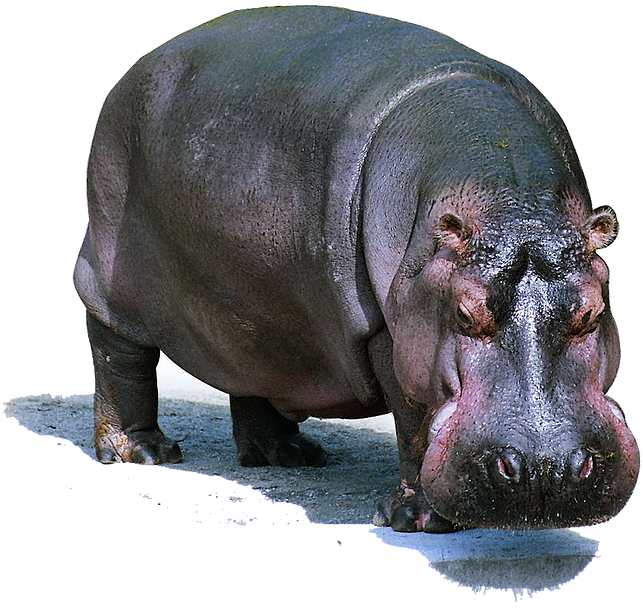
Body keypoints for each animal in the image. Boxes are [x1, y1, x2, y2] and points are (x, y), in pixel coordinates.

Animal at [74, 6, 640, 531]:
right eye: (464, 314)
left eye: (592, 312)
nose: (545, 470)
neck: (510, 204)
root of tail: (139, 67)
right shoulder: (389, 331)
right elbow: (414, 418)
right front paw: (420, 520)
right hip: (111, 274)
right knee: (120, 355)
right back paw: (141, 453)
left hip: (254, 300)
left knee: (252, 363)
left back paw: (291, 456)